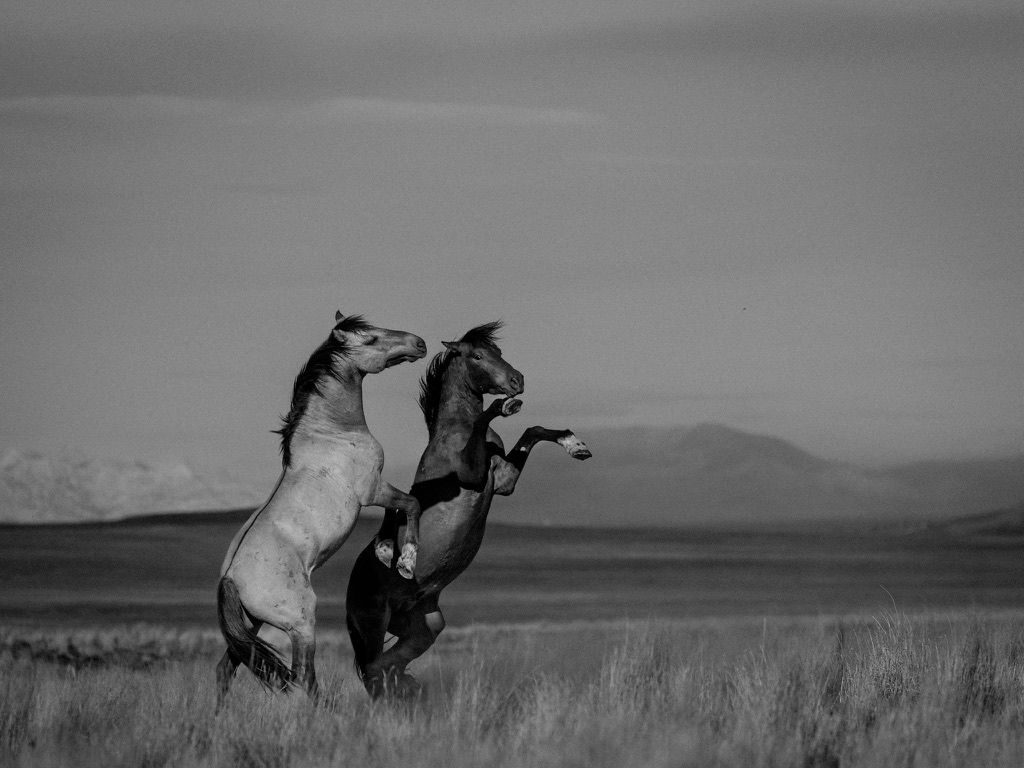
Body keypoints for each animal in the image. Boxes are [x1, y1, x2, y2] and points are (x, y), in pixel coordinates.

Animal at [216, 311, 426, 703]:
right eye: (371, 339)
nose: (419, 343)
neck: (332, 433)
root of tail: (230, 579)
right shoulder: (371, 490)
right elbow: (411, 503)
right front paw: (405, 562)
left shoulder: (375, 491)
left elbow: (398, 510)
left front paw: (386, 551)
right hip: (301, 622)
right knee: (303, 679)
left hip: (256, 624)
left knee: (226, 670)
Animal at [344, 321, 591, 698]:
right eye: (476, 356)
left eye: (497, 352)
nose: (517, 381)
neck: (455, 430)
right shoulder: (471, 475)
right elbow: (492, 420)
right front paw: (506, 407)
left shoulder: (502, 480)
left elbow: (533, 431)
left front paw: (576, 446)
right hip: (373, 627)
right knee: (374, 671)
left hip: (425, 627)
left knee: (388, 666)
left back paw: (409, 687)